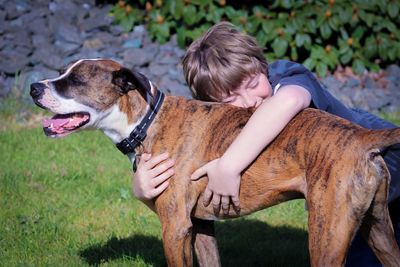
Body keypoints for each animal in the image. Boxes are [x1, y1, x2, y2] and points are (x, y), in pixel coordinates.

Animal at [30, 59, 400, 267]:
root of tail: (362, 136)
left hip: (327, 235)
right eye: (61, 73)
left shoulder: (175, 228)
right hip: (377, 229)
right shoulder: (201, 227)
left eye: (75, 81)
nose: (33, 87)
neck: (148, 120)